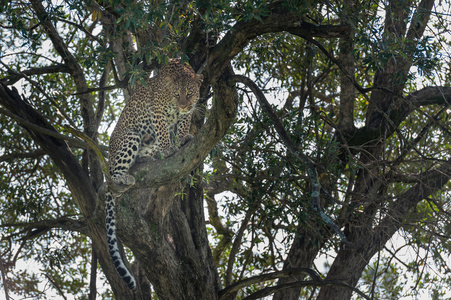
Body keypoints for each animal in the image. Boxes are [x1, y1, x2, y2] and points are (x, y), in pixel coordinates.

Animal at [104, 57, 203, 290]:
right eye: (176, 94)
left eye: (190, 93)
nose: (183, 105)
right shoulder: (157, 110)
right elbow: (163, 130)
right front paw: (168, 149)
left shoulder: (186, 114)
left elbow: (183, 125)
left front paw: (183, 138)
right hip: (130, 138)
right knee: (113, 180)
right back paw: (123, 178)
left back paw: (147, 159)